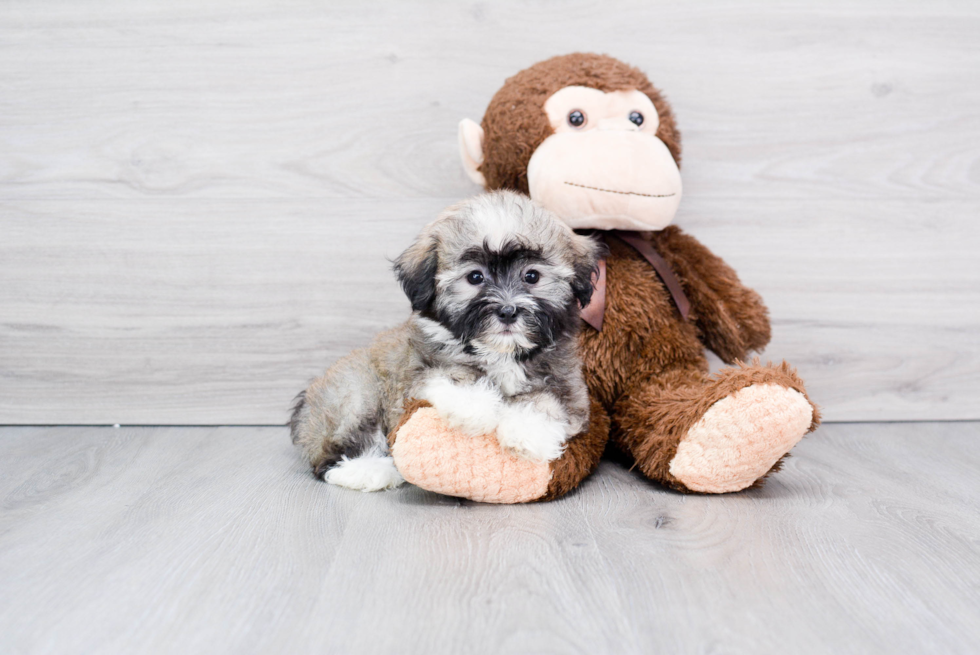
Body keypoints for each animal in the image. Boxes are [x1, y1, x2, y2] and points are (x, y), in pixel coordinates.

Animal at [288, 190, 600, 492]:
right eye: (475, 277)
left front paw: (526, 431)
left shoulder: (569, 384)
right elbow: (455, 376)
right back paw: (373, 471)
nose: (508, 311)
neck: (501, 353)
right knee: (331, 457)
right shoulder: (420, 370)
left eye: (532, 275)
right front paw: (476, 409)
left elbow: (548, 402)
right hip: (355, 393)